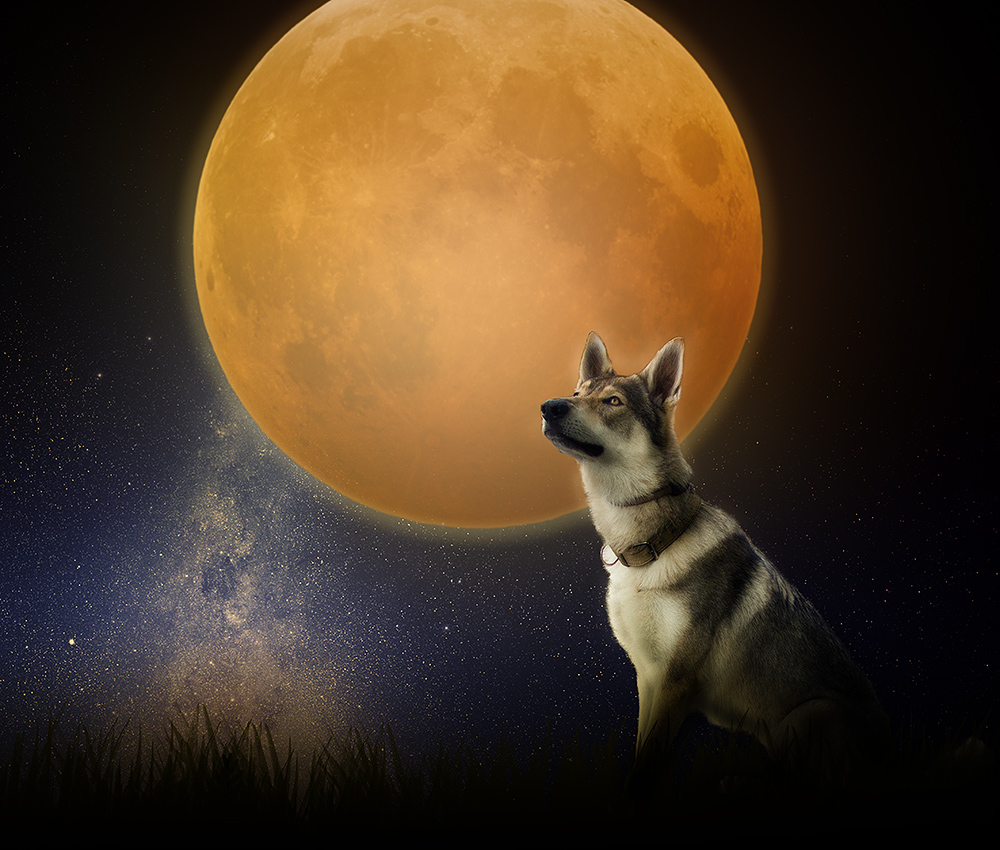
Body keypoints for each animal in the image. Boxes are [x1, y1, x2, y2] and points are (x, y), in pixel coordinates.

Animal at [541, 332, 889, 788]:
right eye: (578, 393)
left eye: (613, 401)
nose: (549, 406)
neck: (653, 547)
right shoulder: (648, 679)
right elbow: (640, 755)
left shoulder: (676, 681)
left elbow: (647, 766)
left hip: (804, 716)